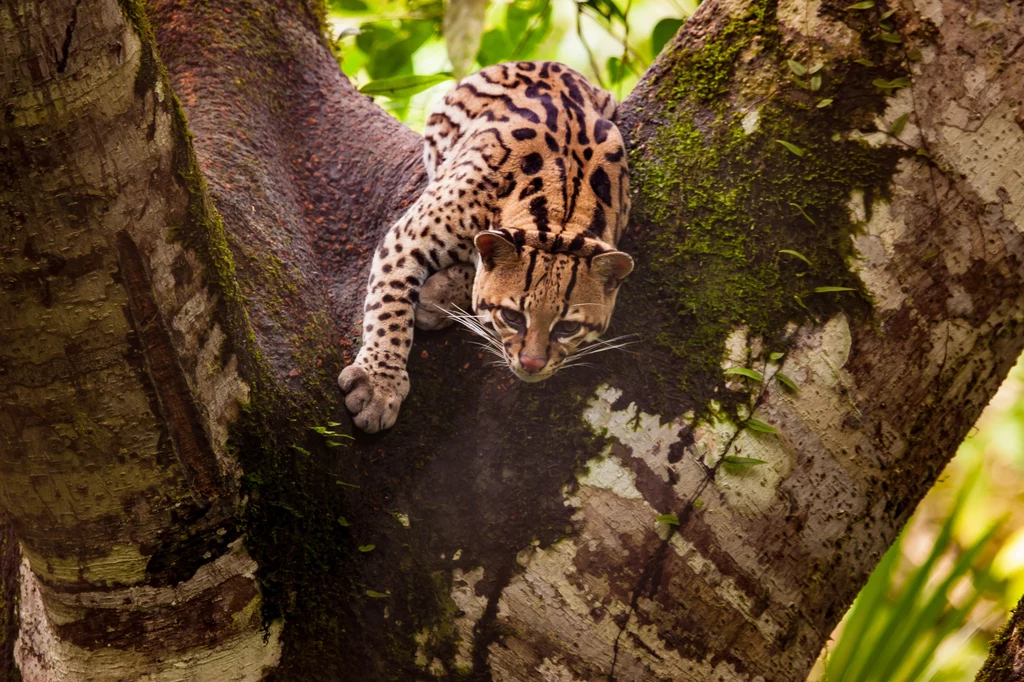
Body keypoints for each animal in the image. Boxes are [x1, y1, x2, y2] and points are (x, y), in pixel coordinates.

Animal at [339, 59, 630, 430]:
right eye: (512, 317)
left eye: (568, 327)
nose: (532, 364)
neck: (558, 218)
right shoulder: (406, 237)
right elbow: (389, 307)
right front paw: (380, 383)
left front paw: (441, 294)